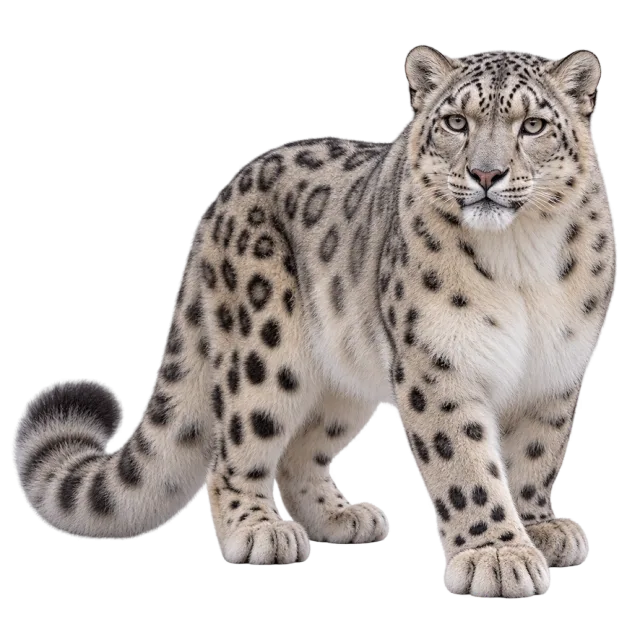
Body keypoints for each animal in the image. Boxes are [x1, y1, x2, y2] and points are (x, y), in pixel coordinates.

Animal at [14, 46, 614, 597]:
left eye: (532, 125)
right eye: (455, 122)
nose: (486, 173)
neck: (521, 260)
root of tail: (223, 200)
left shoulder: (556, 371)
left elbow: (533, 457)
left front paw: (539, 529)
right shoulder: (439, 362)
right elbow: (466, 464)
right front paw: (498, 555)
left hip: (344, 374)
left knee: (301, 451)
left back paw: (343, 516)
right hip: (264, 350)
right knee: (236, 451)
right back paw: (260, 530)